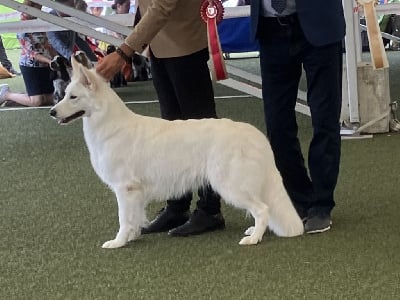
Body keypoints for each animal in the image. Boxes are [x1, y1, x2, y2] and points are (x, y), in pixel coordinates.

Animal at [49, 57, 304, 250]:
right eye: (64, 94)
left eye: (73, 97)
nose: (51, 112)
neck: (110, 124)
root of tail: (256, 134)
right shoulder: (135, 192)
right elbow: (134, 217)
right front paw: (133, 236)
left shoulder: (125, 188)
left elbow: (124, 219)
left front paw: (119, 242)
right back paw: (253, 231)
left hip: (230, 185)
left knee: (262, 209)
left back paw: (254, 239)